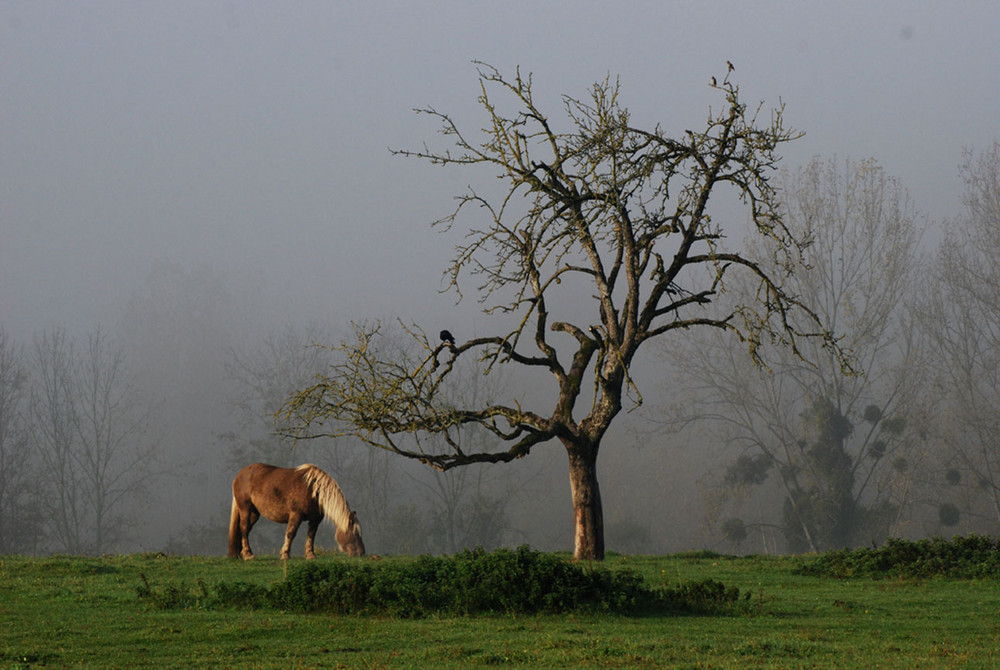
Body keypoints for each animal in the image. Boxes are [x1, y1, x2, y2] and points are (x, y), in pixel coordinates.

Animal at [229, 462, 366, 560]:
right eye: (355, 532)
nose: (362, 553)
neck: (314, 490)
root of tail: (238, 476)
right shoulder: (296, 515)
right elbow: (291, 533)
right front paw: (285, 554)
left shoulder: (315, 519)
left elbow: (311, 535)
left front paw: (310, 555)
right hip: (245, 508)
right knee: (244, 529)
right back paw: (248, 555)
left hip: (254, 513)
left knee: (244, 530)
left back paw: (241, 553)